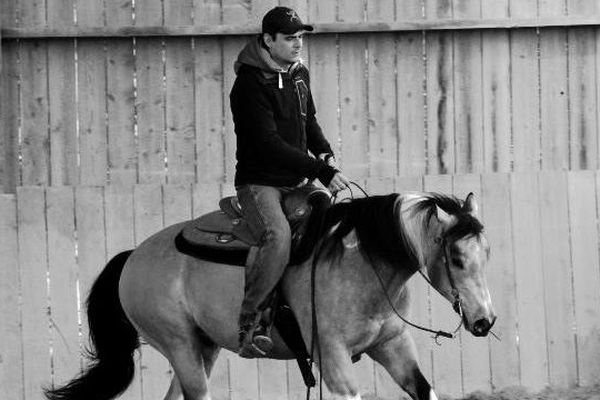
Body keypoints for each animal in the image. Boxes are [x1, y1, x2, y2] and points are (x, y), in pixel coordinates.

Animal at [44, 191, 496, 400]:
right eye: (456, 258)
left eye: (486, 253)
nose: (484, 321)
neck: (363, 262)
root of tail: (132, 256)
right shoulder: (332, 358)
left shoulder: (393, 345)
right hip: (179, 343)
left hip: (203, 347)